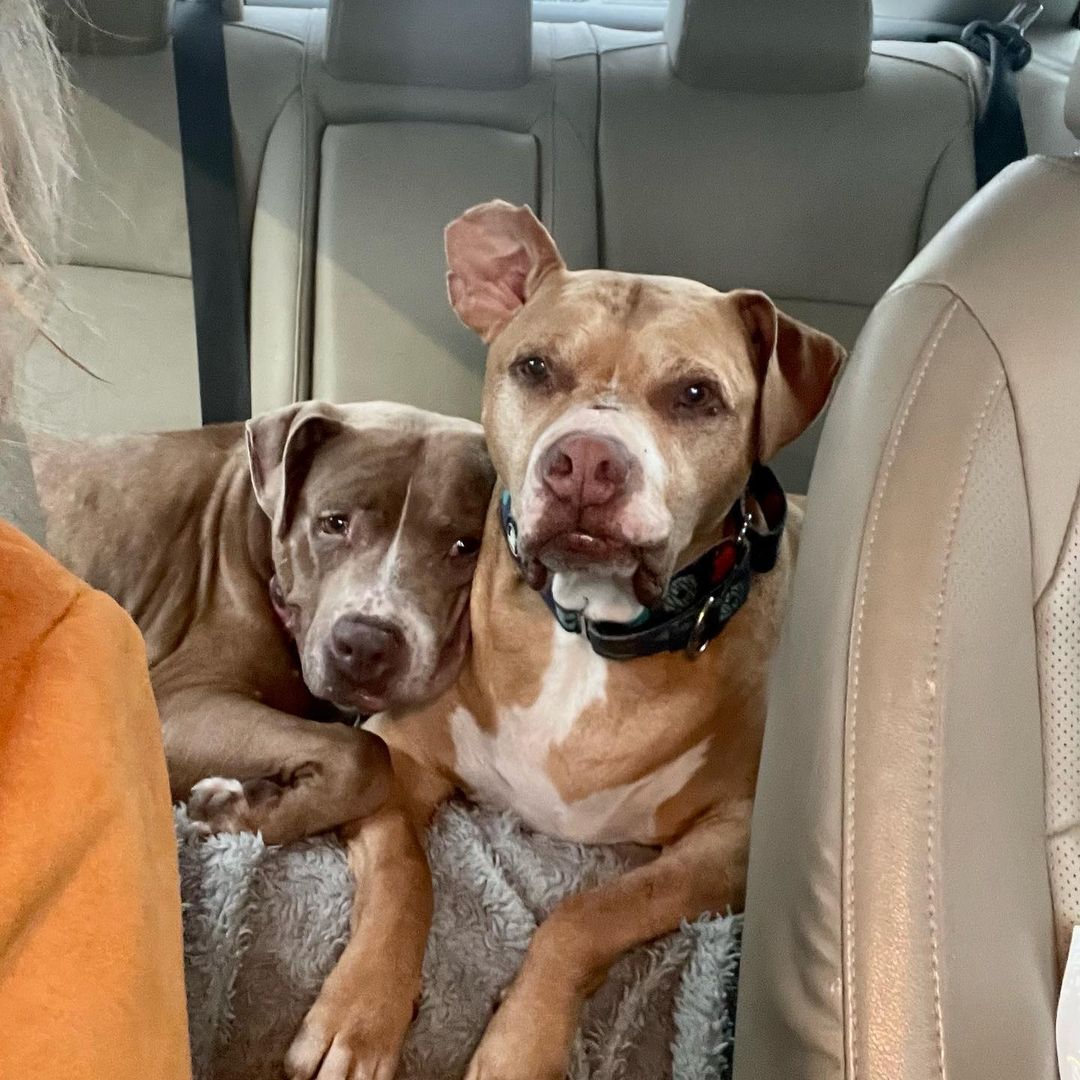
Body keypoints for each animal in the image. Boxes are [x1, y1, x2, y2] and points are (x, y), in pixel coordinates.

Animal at [29, 399, 494, 842]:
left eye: (465, 546)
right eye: (333, 523)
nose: (366, 644)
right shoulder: (175, 704)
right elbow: (366, 753)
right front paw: (234, 811)